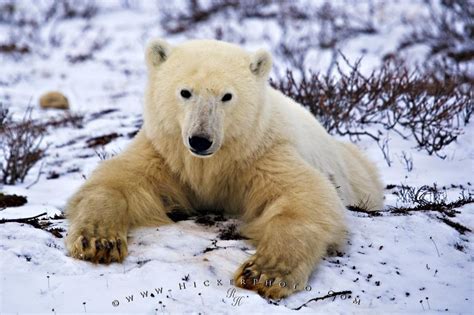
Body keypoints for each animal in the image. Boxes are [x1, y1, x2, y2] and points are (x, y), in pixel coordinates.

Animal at [65, 39, 386, 298]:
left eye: (227, 96)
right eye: (185, 92)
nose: (200, 139)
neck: (213, 161)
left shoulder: (262, 153)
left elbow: (304, 198)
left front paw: (265, 273)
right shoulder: (166, 154)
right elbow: (118, 181)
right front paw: (99, 240)